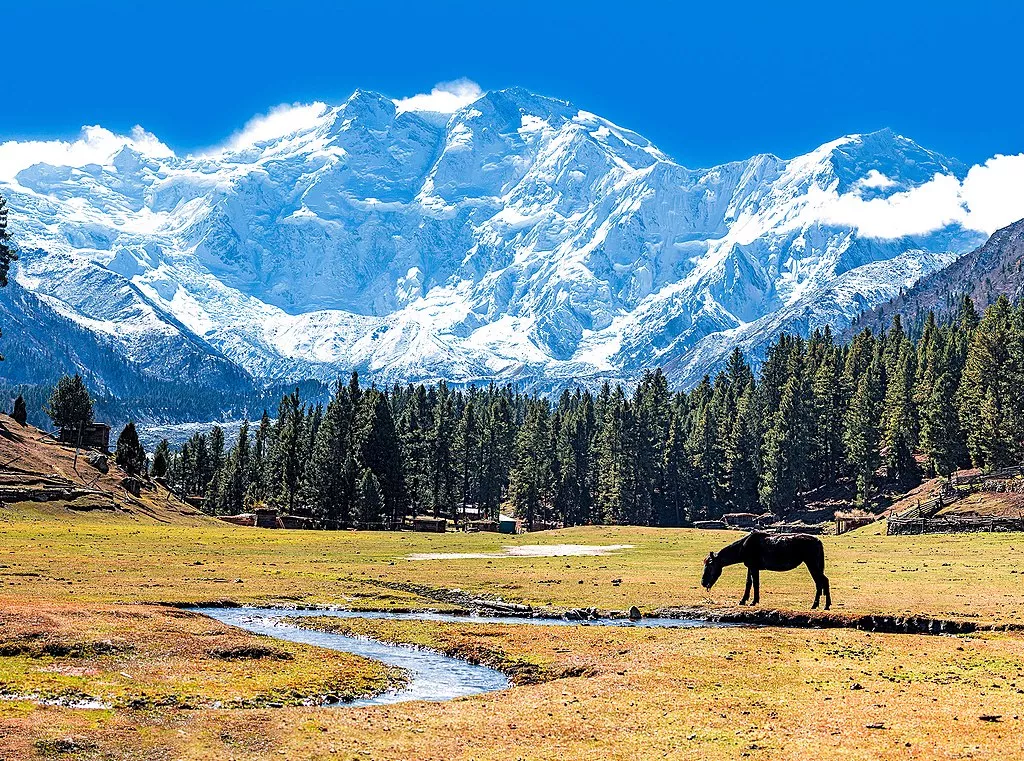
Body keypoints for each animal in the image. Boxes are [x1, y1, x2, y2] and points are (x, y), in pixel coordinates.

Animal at [696, 532, 831, 610]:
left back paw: (822, 605)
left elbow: (755, 584)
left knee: (822, 581)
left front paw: (753, 602)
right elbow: (749, 583)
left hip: (812, 564)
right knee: (820, 582)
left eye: (710, 565)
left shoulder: (754, 567)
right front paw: (743, 600)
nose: (703, 582)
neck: (743, 546)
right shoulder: (750, 567)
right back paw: (819, 605)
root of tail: (818, 541)